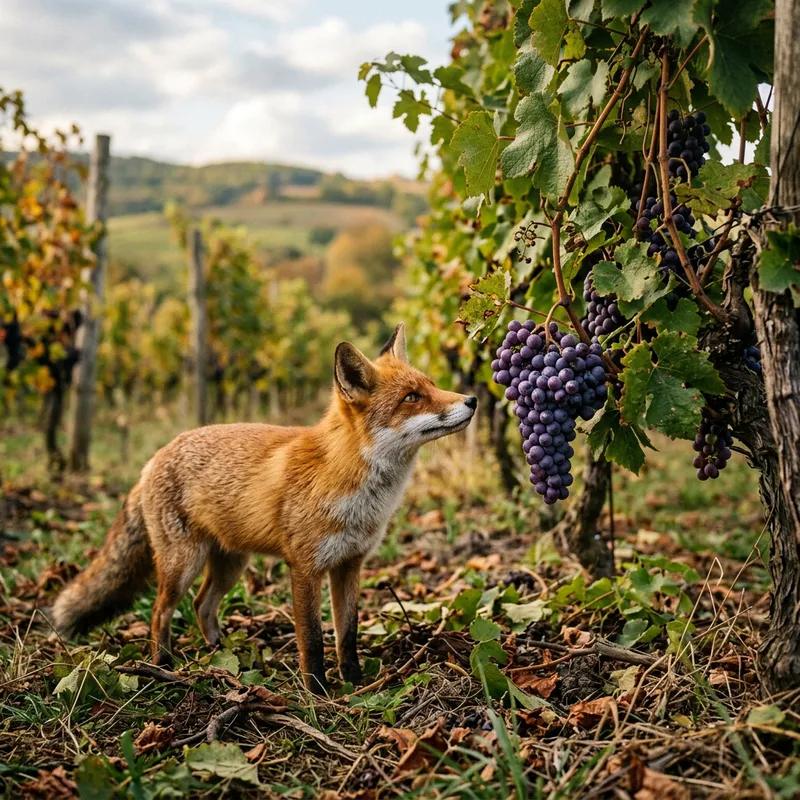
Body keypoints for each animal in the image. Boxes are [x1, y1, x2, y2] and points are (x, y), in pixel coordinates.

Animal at [50, 323, 476, 692]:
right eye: (412, 397)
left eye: (432, 385)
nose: (472, 399)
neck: (350, 484)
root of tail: (154, 458)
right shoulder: (305, 568)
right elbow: (312, 639)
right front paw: (318, 693)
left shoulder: (349, 565)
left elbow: (348, 634)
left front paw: (355, 682)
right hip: (183, 564)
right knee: (160, 612)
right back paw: (162, 665)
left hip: (231, 564)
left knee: (202, 605)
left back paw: (220, 655)